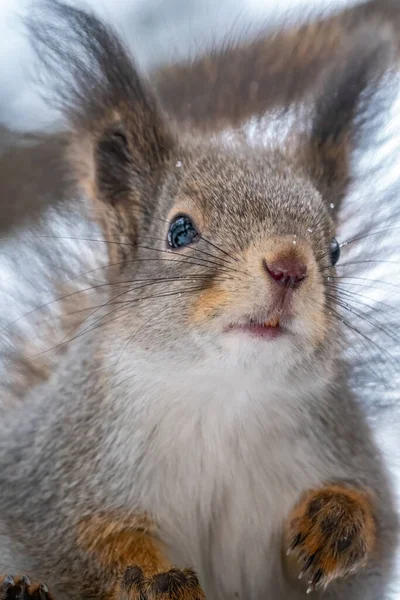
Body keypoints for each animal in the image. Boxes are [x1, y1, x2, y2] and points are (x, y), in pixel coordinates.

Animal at [0, 0, 398, 596]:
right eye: (179, 230)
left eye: (335, 248)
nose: (289, 267)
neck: (223, 396)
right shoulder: (51, 486)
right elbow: (92, 548)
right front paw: (152, 577)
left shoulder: (343, 451)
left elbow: (375, 527)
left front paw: (337, 522)